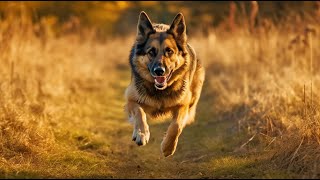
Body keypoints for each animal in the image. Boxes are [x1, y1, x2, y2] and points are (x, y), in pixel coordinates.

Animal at [125, 11, 205, 157]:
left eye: (169, 51)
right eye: (151, 51)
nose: (159, 71)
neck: (161, 91)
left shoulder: (183, 105)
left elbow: (176, 126)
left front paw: (168, 147)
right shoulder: (131, 100)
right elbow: (139, 113)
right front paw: (141, 133)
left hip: (193, 98)